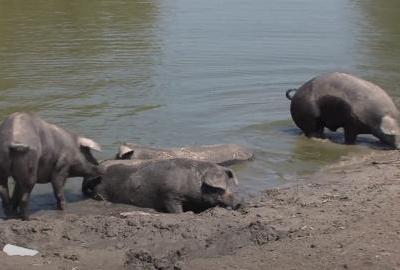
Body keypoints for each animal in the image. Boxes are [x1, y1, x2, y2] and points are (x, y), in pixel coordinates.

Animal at [81, 158, 238, 213]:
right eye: (219, 189)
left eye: (229, 184)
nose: (237, 202)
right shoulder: (169, 195)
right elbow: (176, 210)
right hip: (100, 191)